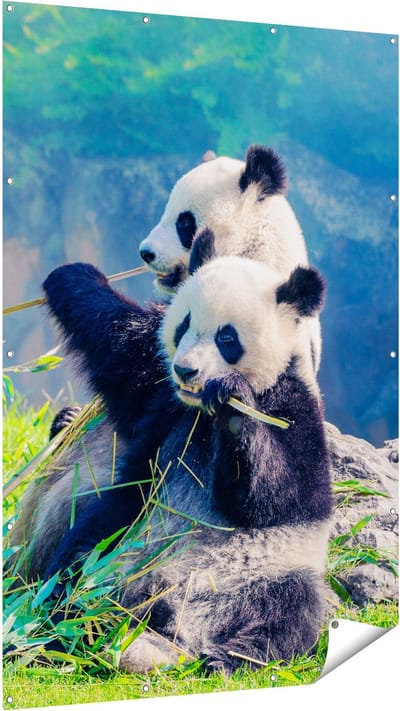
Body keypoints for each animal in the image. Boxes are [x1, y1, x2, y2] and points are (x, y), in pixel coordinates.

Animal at [37, 231, 331, 673]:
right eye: (184, 324)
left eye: (227, 338)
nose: (186, 370)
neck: (200, 415)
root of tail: (168, 617)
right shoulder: (163, 403)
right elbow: (121, 348)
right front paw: (73, 275)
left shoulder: (293, 407)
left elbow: (281, 497)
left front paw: (233, 406)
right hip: (120, 539)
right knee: (76, 565)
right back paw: (60, 630)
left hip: (267, 572)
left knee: (291, 611)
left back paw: (228, 658)